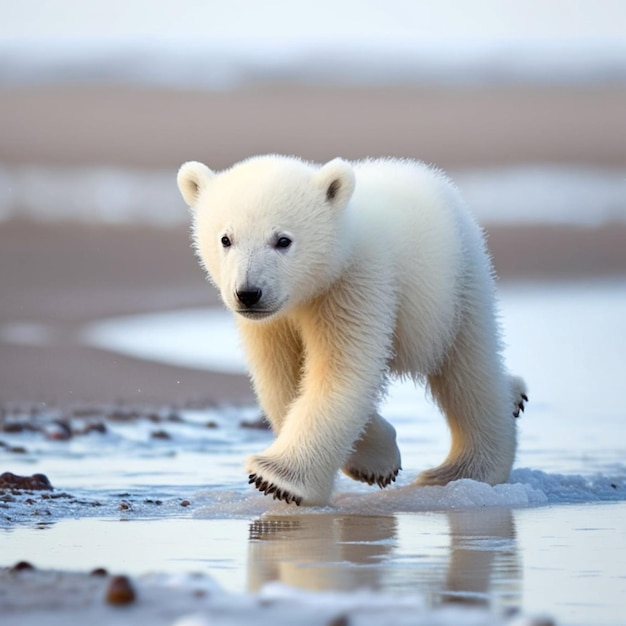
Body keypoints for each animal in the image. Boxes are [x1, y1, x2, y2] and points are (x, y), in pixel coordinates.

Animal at [177, 154, 528, 504]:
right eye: (225, 239)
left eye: (282, 240)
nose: (249, 293)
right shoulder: (272, 321)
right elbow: (283, 377)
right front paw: (375, 461)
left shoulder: (354, 282)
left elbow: (341, 373)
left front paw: (275, 479)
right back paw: (513, 395)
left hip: (457, 283)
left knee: (469, 369)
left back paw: (461, 470)